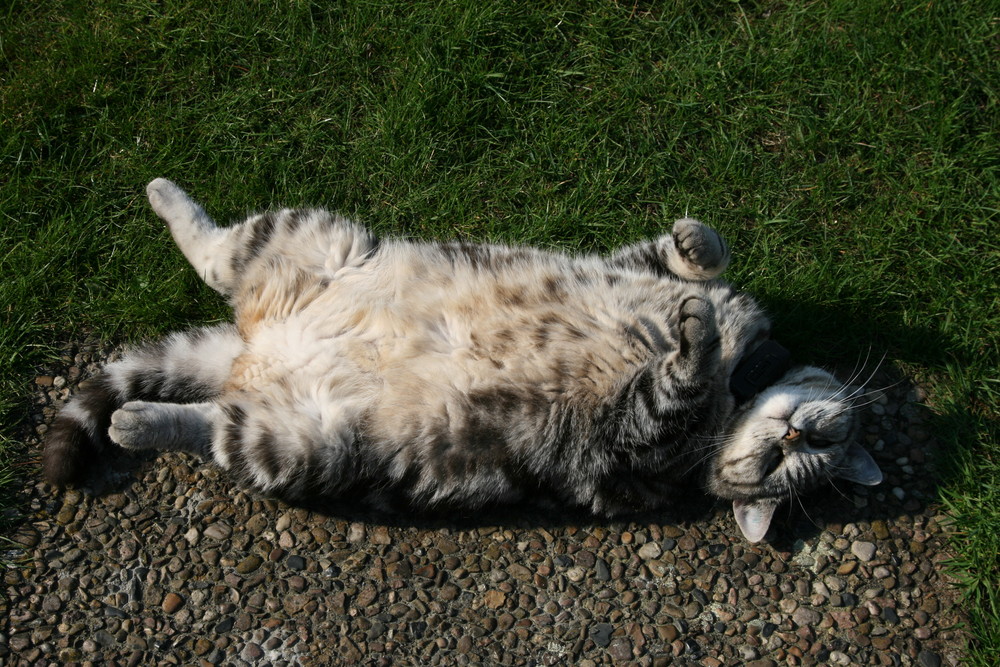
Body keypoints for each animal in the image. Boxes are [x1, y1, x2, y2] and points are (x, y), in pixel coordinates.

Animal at [43, 179, 880, 544]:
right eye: (817, 442)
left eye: (794, 466)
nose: (795, 435)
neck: (742, 386)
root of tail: (247, 354)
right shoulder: (634, 266)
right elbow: (702, 255)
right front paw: (696, 249)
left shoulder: (643, 435)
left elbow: (681, 369)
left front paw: (694, 334)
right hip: (313, 239)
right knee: (215, 250)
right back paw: (164, 192)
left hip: (302, 441)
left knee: (210, 424)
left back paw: (135, 420)